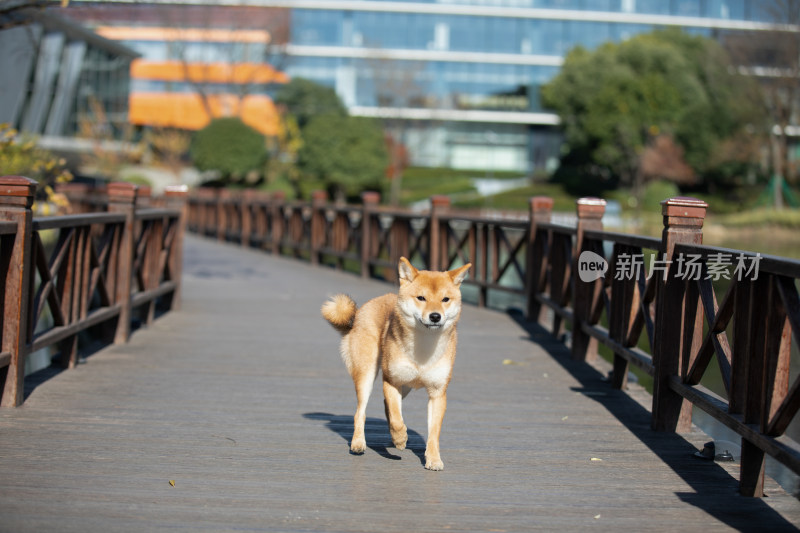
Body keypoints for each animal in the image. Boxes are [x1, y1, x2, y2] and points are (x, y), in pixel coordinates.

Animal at [318, 258, 468, 470]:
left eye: (445, 299)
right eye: (421, 298)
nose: (435, 316)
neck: (423, 348)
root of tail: (363, 308)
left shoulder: (438, 393)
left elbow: (433, 432)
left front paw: (433, 459)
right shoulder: (391, 381)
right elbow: (397, 419)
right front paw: (399, 438)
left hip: (406, 387)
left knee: (386, 405)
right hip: (367, 374)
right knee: (360, 412)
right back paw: (359, 442)